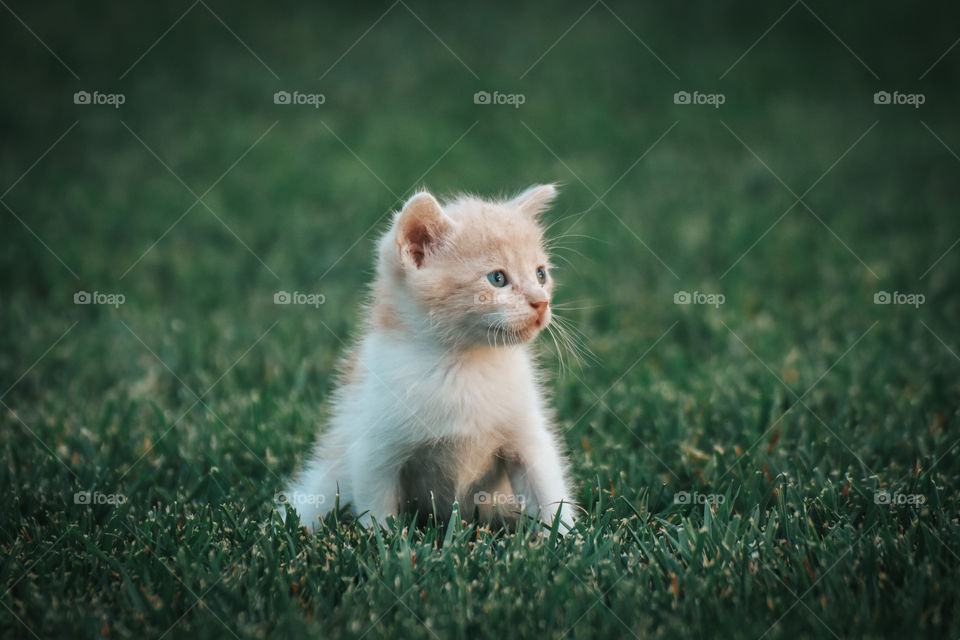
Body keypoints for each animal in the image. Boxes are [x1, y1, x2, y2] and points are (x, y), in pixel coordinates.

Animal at [280, 184, 576, 528]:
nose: (541, 303)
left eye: (541, 274)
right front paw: (383, 539)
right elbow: (376, 510)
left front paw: (568, 536)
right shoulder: (373, 451)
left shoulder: (528, 440)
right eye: (498, 279)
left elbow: (548, 493)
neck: (464, 363)